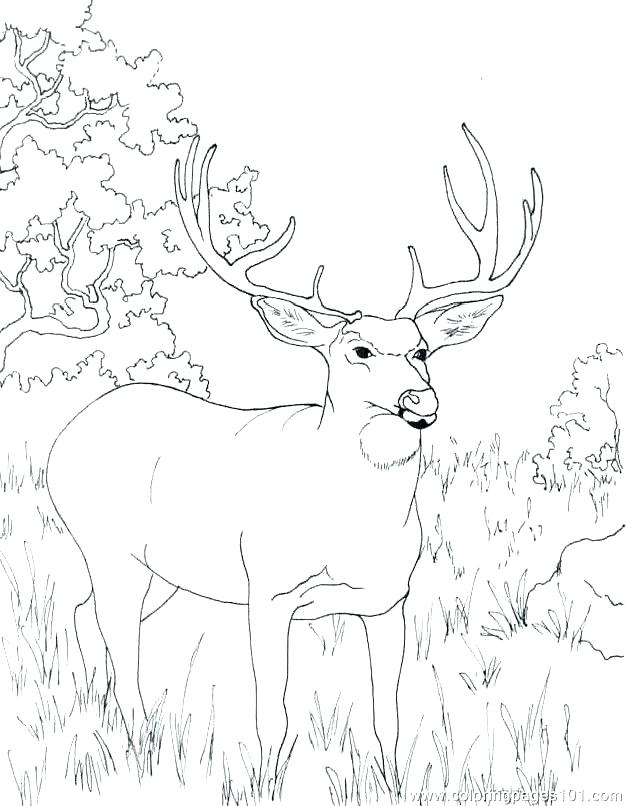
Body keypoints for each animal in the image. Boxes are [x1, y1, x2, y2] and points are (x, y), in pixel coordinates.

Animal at [46, 125, 542, 785]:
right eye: (357, 349)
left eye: (422, 350)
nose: (421, 401)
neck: (349, 528)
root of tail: (66, 434)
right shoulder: (269, 592)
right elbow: (273, 717)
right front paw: (263, 784)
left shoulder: (390, 601)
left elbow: (387, 714)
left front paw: (390, 783)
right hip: (107, 546)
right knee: (117, 638)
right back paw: (134, 742)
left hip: (165, 570)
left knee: (86, 616)